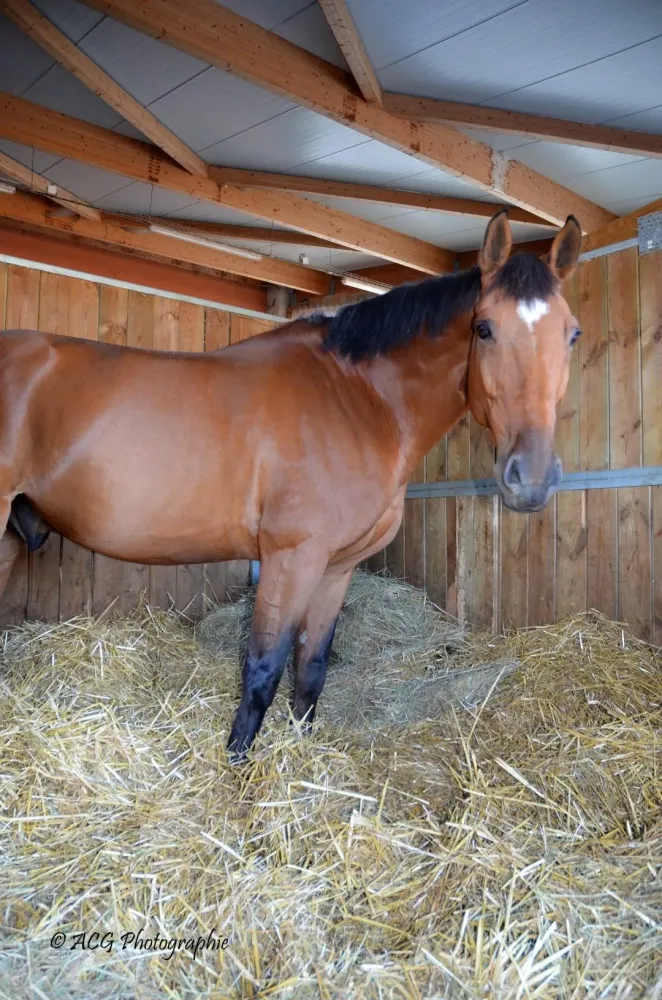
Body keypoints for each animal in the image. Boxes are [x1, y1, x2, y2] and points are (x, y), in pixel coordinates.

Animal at [0, 209, 582, 760]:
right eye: (484, 328)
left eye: (571, 333)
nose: (531, 478)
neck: (358, 397)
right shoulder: (290, 557)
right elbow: (263, 668)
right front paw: (238, 768)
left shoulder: (338, 567)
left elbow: (311, 666)